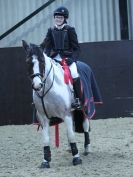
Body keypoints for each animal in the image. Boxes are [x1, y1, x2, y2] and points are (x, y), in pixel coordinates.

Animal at [22, 40, 101, 169]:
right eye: (28, 62)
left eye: (42, 61)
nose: (37, 85)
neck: (47, 90)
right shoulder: (43, 118)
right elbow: (46, 138)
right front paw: (45, 161)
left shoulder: (66, 114)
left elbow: (71, 134)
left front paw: (76, 158)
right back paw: (70, 148)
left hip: (83, 108)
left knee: (85, 127)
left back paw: (87, 149)